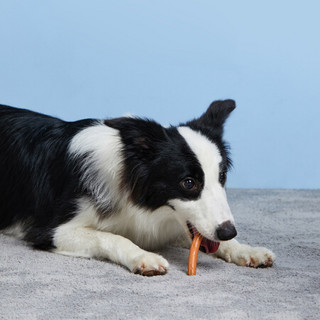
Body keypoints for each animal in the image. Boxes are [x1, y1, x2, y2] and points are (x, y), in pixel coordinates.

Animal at [0, 100, 276, 276]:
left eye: (221, 176)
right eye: (188, 183)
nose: (228, 231)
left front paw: (246, 249)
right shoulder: (48, 230)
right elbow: (110, 236)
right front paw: (143, 256)